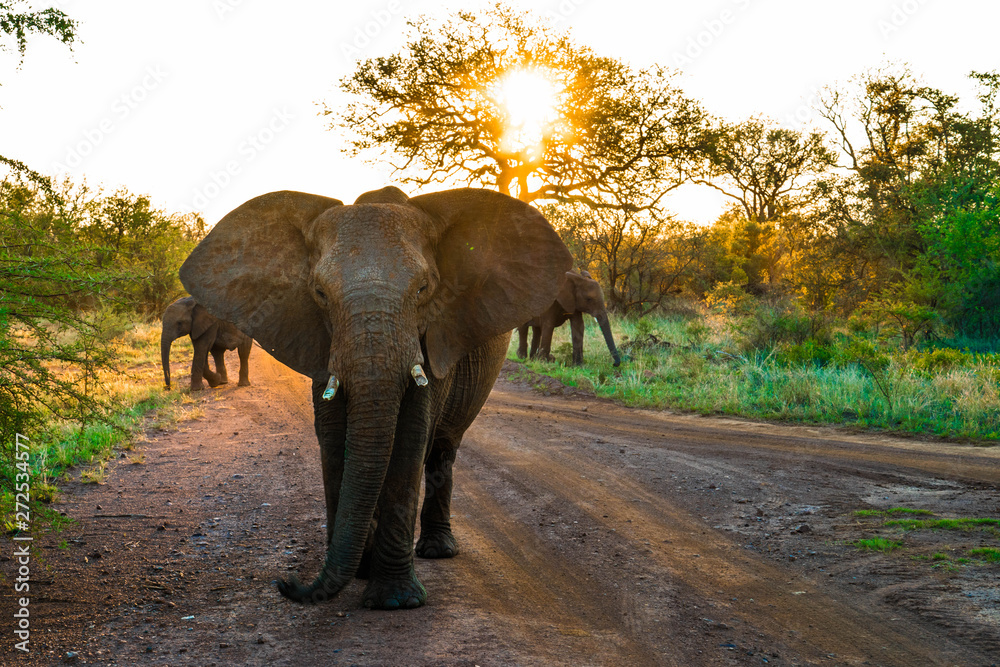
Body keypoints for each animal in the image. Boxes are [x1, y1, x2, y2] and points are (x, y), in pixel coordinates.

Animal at [179, 186, 573, 609]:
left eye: (423, 289)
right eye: (319, 293)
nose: (286, 583)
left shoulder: (430, 336)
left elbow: (410, 440)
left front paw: (394, 601)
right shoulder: (319, 338)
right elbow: (333, 440)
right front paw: (358, 574)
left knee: (443, 448)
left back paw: (436, 550)